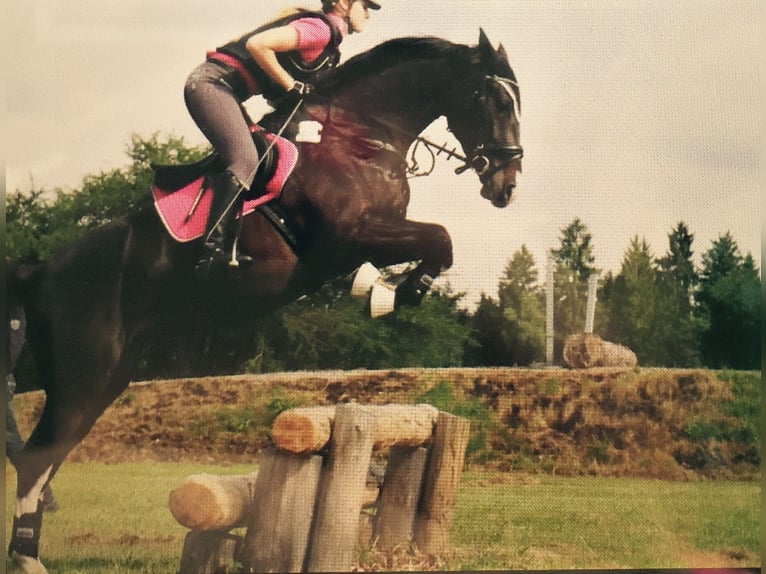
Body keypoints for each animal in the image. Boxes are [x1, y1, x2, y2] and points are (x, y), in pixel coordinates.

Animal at [7, 30, 522, 572]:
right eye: (494, 100)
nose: (507, 185)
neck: (360, 136)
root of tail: (40, 271)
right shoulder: (347, 236)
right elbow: (440, 239)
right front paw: (388, 294)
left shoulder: (362, 240)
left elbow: (436, 245)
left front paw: (380, 289)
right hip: (83, 373)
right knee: (37, 458)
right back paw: (26, 557)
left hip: (106, 379)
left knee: (48, 456)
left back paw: (27, 550)